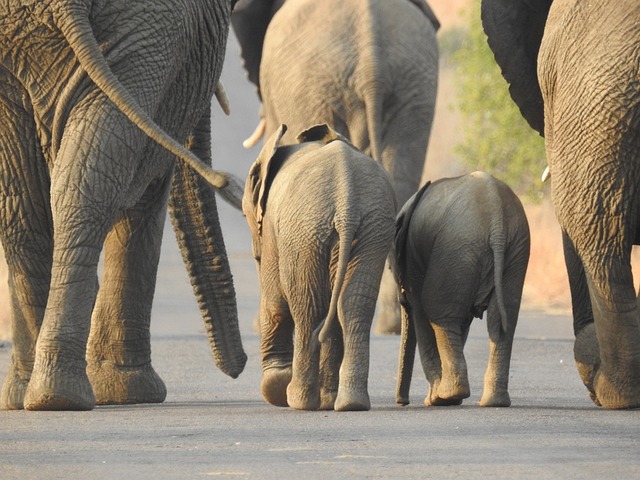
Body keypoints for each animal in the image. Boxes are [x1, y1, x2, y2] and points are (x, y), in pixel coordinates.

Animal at [0, 0, 248, 412]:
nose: (238, 366)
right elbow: (149, 184)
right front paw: (131, 393)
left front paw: (121, 391)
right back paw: (50, 394)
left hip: (146, 27)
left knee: (55, 187)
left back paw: (48, 395)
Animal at [244, 123, 398, 408]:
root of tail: (347, 205)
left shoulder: (271, 228)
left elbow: (275, 304)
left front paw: (275, 388)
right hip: (373, 227)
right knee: (352, 305)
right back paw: (348, 403)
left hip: (304, 231)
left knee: (309, 308)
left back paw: (299, 399)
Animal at [392, 171, 532, 406]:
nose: (402, 402)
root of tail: (497, 221)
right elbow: (463, 322)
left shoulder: (414, 260)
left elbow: (421, 312)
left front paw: (432, 400)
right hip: (514, 249)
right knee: (501, 320)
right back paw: (492, 402)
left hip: (457, 249)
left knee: (440, 315)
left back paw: (445, 397)